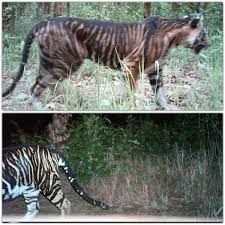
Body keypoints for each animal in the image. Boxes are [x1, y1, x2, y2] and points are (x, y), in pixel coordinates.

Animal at [1, 14, 210, 109]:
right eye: (205, 33)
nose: (210, 43)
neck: (175, 39)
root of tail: (45, 21)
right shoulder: (131, 64)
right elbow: (130, 90)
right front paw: (124, 104)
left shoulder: (155, 70)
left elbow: (161, 93)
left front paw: (164, 108)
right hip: (64, 62)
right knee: (38, 86)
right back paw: (44, 106)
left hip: (53, 62)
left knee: (43, 83)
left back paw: (68, 101)